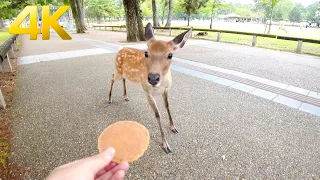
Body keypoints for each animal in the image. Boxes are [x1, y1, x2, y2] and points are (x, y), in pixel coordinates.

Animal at [107, 22, 192, 153]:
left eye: (170, 55)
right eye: (146, 53)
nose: (153, 78)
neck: (160, 85)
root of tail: (120, 49)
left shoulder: (166, 89)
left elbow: (167, 106)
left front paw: (173, 127)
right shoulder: (148, 92)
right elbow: (157, 114)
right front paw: (165, 144)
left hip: (124, 72)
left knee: (124, 79)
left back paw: (125, 96)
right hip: (118, 70)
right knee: (112, 77)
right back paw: (110, 98)